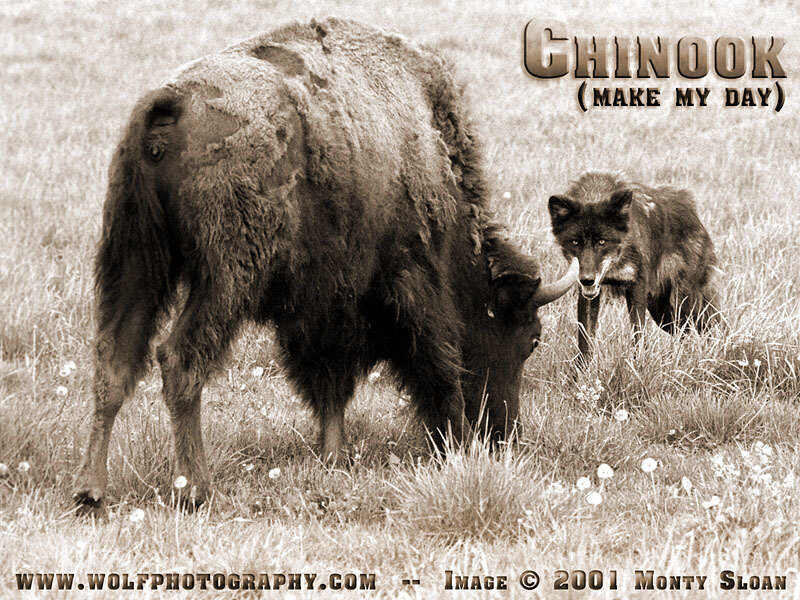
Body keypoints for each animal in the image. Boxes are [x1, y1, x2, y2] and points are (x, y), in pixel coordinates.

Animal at [73, 17, 577, 510]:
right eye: (531, 339)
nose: (504, 436)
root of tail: (171, 100)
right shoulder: (410, 283)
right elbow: (438, 366)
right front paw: (454, 443)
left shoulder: (324, 305)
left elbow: (329, 382)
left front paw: (332, 455)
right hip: (225, 278)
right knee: (179, 358)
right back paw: (194, 488)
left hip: (134, 261)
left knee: (113, 362)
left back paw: (91, 491)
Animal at [548, 172, 720, 361]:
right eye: (575, 242)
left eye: (602, 241)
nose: (587, 279)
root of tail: (692, 210)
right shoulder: (588, 295)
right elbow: (585, 341)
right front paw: (582, 369)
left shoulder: (636, 287)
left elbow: (638, 334)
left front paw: (638, 364)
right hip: (662, 312)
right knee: (684, 332)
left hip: (683, 304)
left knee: (704, 328)